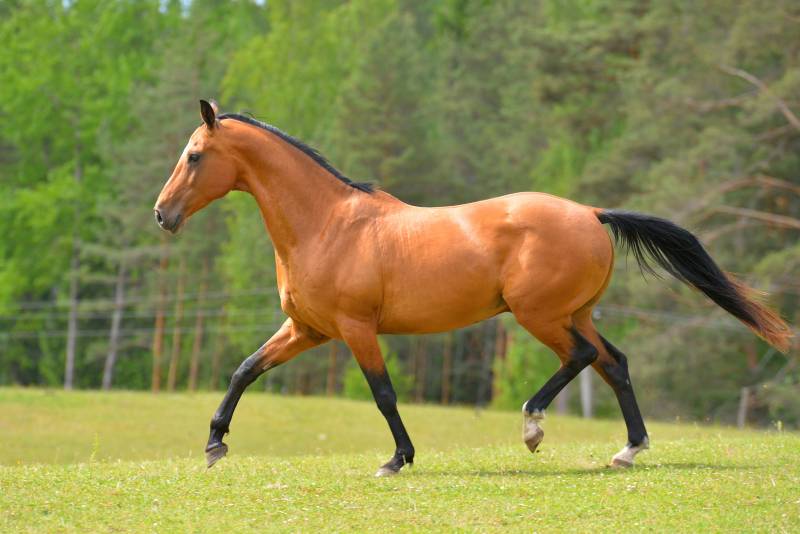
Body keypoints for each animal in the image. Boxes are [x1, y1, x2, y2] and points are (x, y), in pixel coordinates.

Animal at [154, 100, 791, 476]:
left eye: (195, 155)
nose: (162, 214)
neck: (328, 224)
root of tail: (592, 213)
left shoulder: (356, 330)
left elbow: (383, 394)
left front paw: (398, 459)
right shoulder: (308, 329)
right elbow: (245, 369)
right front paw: (215, 445)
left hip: (540, 315)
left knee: (583, 357)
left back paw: (533, 425)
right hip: (574, 312)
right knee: (615, 363)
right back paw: (628, 449)